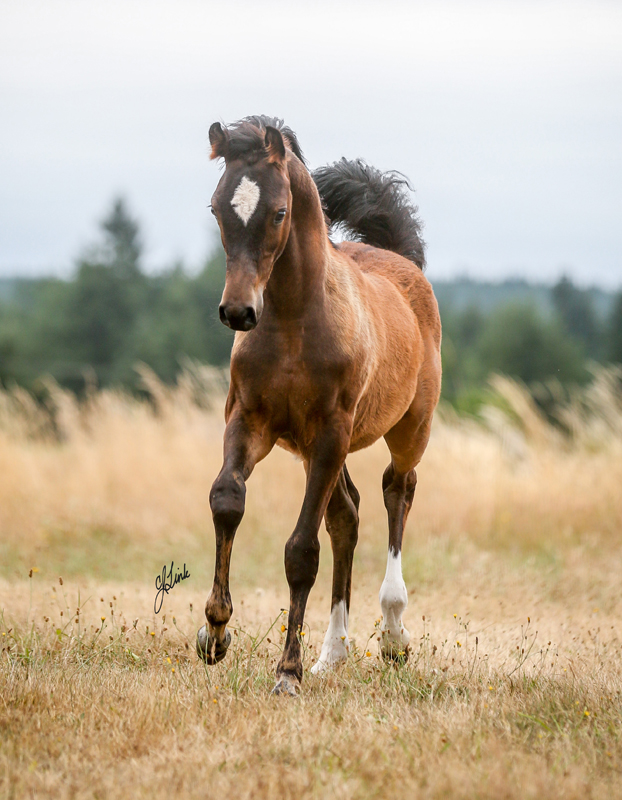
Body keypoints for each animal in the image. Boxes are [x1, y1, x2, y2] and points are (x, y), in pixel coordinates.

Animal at [196, 115, 444, 696]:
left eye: (279, 212)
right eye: (217, 208)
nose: (238, 312)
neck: (292, 319)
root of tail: (404, 262)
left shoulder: (332, 430)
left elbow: (300, 551)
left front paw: (287, 672)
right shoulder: (250, 420)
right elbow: (227, 500)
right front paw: (214, 634)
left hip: (406, 430)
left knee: (397, 491)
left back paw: (393, 636)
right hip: (313, 450)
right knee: (347, 516)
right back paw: (333, 654)